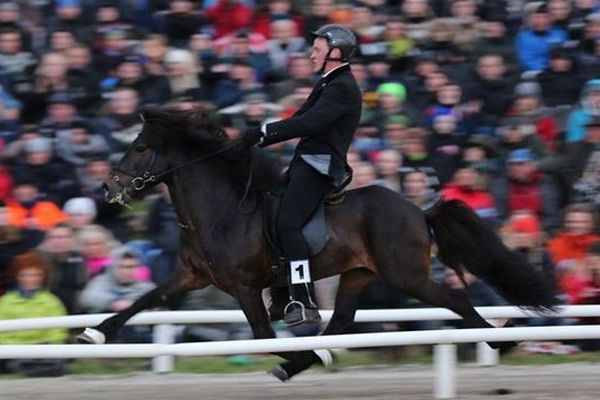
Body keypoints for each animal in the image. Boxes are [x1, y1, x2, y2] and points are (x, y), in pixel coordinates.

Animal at [76, 107, 556, 382]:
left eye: (141, 147)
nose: (107, 187)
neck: (222, 208)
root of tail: (419, 211)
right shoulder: (191, 276)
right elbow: (145, 299)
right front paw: (92, 334)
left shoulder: (244, 287)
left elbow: (263, 335)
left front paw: (293, 355)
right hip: (359, 274)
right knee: (342, 319)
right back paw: (312, 357)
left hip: (407, 275)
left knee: (455, 300)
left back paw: (499, 341)